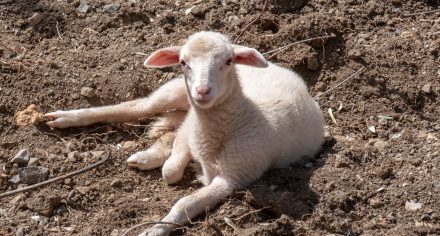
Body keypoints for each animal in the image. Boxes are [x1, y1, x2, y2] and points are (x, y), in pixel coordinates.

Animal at [45, 31, 326, 236]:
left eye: (228, 61)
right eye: (183, 62)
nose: (202, 91)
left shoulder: (234, 177)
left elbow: (184, 202)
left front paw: (156, 229)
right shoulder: (192, 127)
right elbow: (171, 168)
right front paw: (169, 163)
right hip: (172, 90)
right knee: (136, 107)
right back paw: (66, 118)